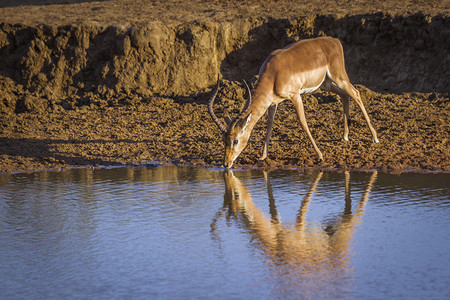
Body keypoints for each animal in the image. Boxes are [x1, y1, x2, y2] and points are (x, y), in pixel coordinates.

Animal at [209, 36, 378, 168]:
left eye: (236, 140)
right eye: (223, 140)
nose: (226, 164)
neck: (273, 73)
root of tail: (334, 40)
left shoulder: (295, 95)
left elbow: (302, 121)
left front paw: (320, 155)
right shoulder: (273, 102)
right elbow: (269, 124)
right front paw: (263, 156)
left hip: (339, 77)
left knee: (356, 94)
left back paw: (374, 138)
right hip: (326, 84)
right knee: (344, 96)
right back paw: (345, 135)